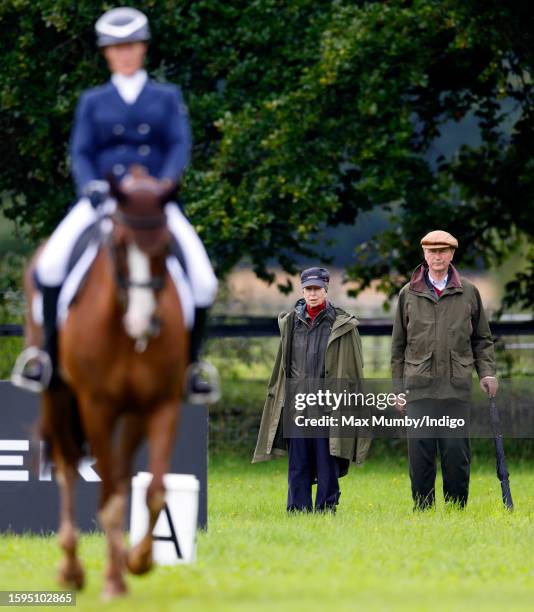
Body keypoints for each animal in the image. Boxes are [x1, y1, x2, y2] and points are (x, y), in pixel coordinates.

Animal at [23, 175, 191, 600]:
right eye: (117, 245)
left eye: (166, 246)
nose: (143, 323)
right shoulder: (96, 406)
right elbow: (109, 494)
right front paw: (113, 580)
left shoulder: (159, 405)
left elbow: (150, 490)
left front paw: (138, 561)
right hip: (58, 399)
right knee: (67, 466)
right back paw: (71, 568)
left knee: (117, 472)